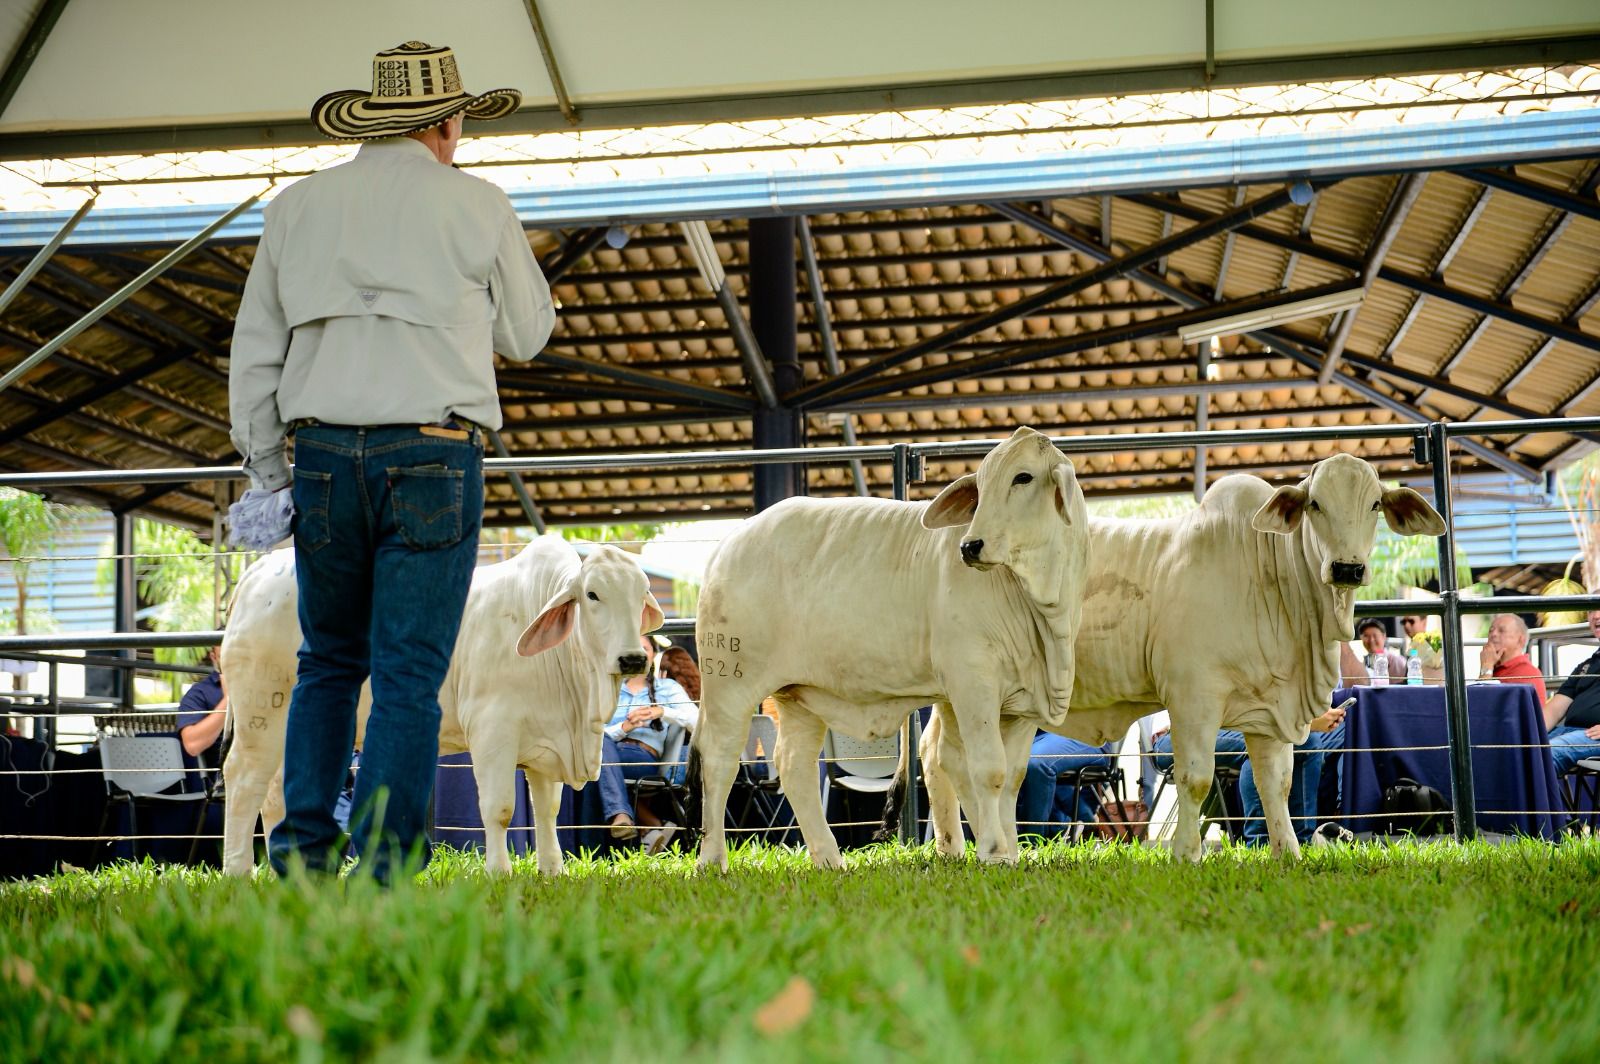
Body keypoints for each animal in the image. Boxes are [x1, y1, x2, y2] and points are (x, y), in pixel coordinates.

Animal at [220, 534, 662, 876]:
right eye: (592, 594)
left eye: (641, 595)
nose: (632, 659)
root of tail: (257, 573)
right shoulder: (492, 731)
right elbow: (499, 808)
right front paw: (499, 872)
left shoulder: (546, 741)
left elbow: (547, 811)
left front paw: (553, 871)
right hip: (261, 713)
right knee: (242, 779)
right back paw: (239, 871)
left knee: (274, 791)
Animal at [694, 425, 1094, 870]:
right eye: (981, 485)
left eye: (1023, 477)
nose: (970, 546)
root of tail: (732, 540)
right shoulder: (973, 684)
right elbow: (989, 769)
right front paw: (993, 852)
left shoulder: (1021, 704)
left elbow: (1013, 778)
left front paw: (1010, 852)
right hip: (729, 680)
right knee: (720, 758)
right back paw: (712, 860)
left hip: (799, 695)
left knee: (794, 765)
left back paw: (830, 860)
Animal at [908, 451, 1446, 857]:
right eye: (1315, 503)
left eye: (1374, 504)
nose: (1347, 568)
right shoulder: (1194, 696)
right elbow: (1196, 778)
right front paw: (1187, 853)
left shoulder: (1269, 708)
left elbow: (1276, 785)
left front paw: (1288, 854)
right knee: (955, 760)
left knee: (935, 756)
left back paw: (955, 848)